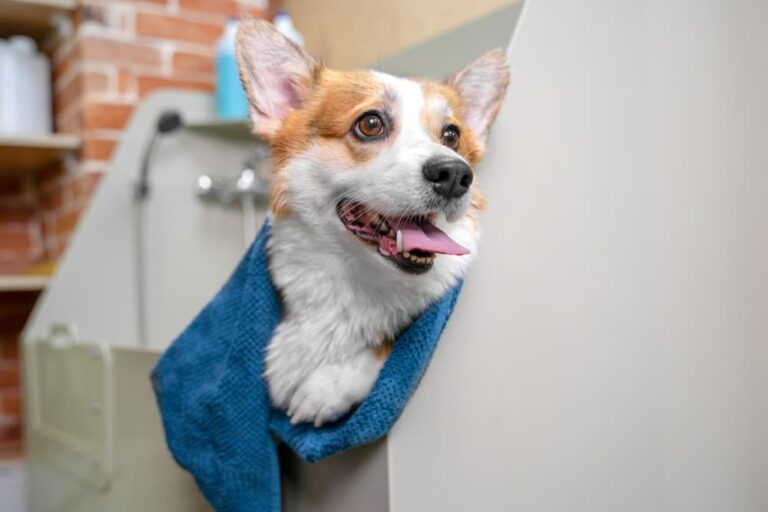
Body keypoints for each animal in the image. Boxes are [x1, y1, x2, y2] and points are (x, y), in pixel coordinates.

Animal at [237, 20, 508, 426]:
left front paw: (326, 387)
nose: (456, 175)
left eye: (452, 135)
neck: (354, 283)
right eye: (370, 124)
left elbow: (390, 353)